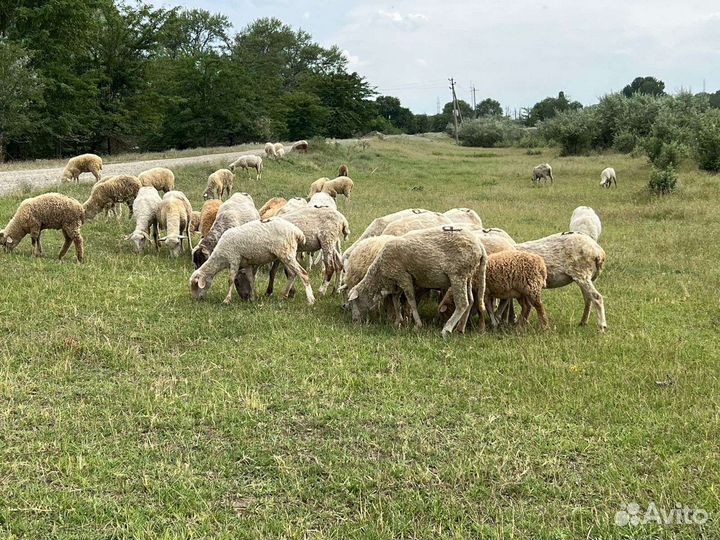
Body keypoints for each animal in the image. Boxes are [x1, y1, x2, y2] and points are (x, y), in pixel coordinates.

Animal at [347, 225, 487, 337]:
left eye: (354, 301)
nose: (354, 321)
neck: (380, 271)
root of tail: (479, 246)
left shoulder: (404, 277)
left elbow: (411, 301)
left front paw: (417, 325)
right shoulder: (396, 283)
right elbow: (396, 301)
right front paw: (398, 321)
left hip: (458, 274)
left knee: (462, 303)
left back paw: (446, 329)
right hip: (467, 276)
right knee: (470, 301)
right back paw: (460, 328)